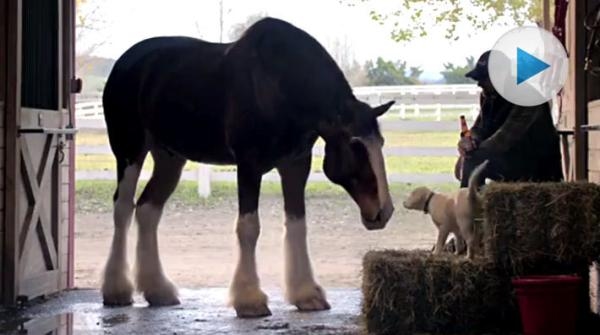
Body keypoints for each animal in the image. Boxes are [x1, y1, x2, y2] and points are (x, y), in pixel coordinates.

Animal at [101, 17, 396, 318]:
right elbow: (249, 227)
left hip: (170, 158)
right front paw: (249, 300)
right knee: (123, 209)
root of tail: (125, 62)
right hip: (129, 151)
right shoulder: (248, 166)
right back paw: (117, 290)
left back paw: (158, 290)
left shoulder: (295, 165)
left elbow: (297, 224)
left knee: (148, 209)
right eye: (355, 145)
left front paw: (306, 294)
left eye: (381, 142)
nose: (383, 211)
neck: (278, 85)